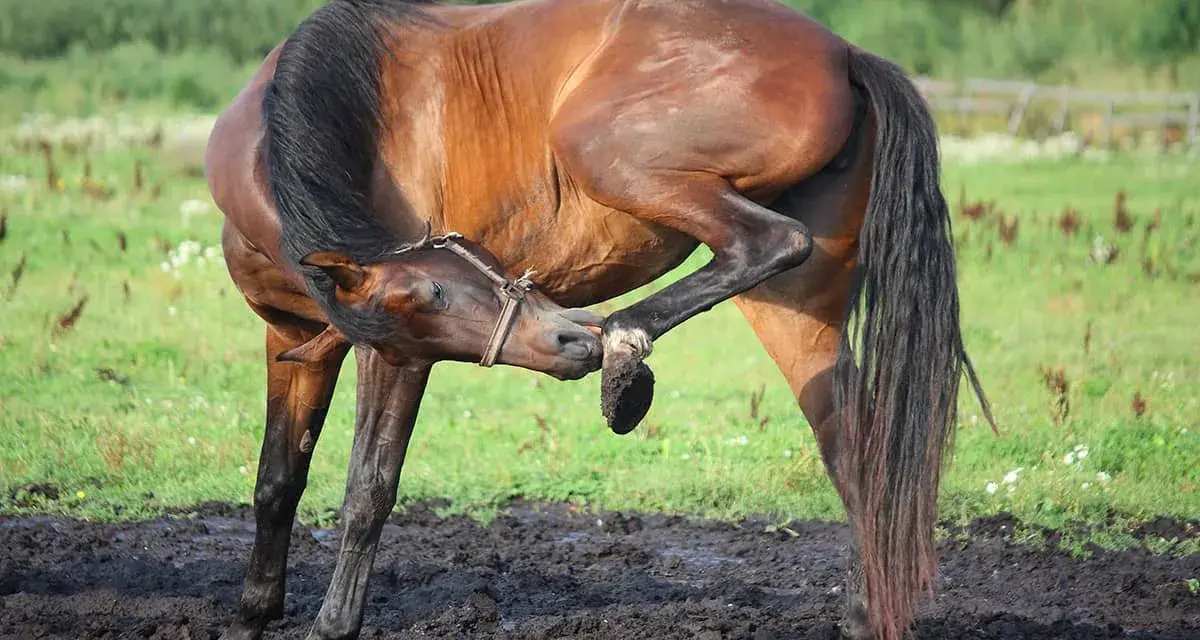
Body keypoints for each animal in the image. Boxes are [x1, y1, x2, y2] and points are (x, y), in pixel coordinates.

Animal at [204, 0, 993, 638]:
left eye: (436, 291)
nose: (562, 338)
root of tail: (846, 54)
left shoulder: (396, 358)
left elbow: (368, 488)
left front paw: (333, 622)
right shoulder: (290, 341)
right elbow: (276, 482)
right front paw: (251, 615)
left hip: (607, 154)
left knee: (768, 242)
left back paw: (622, 348)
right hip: (798, 312)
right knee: (857, 453)